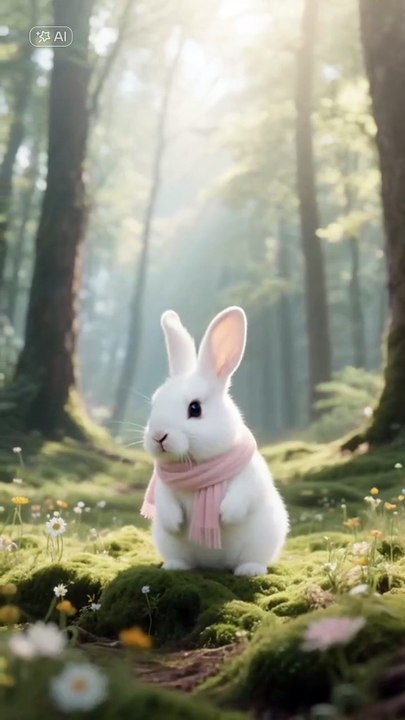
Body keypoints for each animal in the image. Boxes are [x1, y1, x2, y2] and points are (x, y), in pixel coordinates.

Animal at [141, 306, 289, 577]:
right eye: (154, 403)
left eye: (195, 408)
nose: (159, 436)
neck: (198, 464)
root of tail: (215, 565)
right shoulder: (165, 486)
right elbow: (165, 499)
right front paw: (173, 522)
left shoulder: (251, 474)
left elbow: (244, 492)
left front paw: (226, 515)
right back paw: (175, 566)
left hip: (263, 539)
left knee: (253, 559)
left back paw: (249, 570)